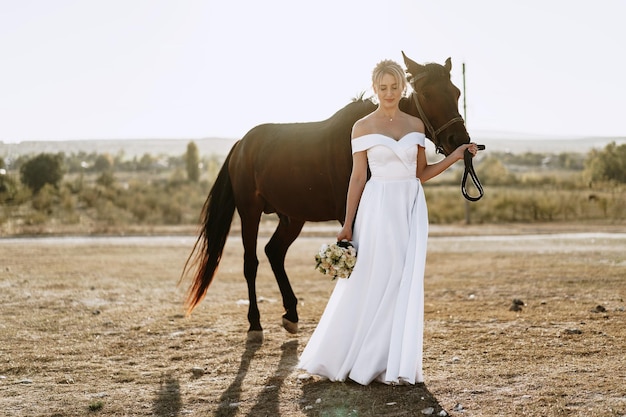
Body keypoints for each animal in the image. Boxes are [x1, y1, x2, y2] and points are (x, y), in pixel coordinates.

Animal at [180, 52, 478, 340]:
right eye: (427, 93)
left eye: (455, 92)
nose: (458, 140)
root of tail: (242, 144)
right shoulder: (349, 213)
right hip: (249, 212)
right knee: (250, 262)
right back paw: (255, 324)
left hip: (292, 217)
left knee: (274, 252)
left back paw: (291, 315)